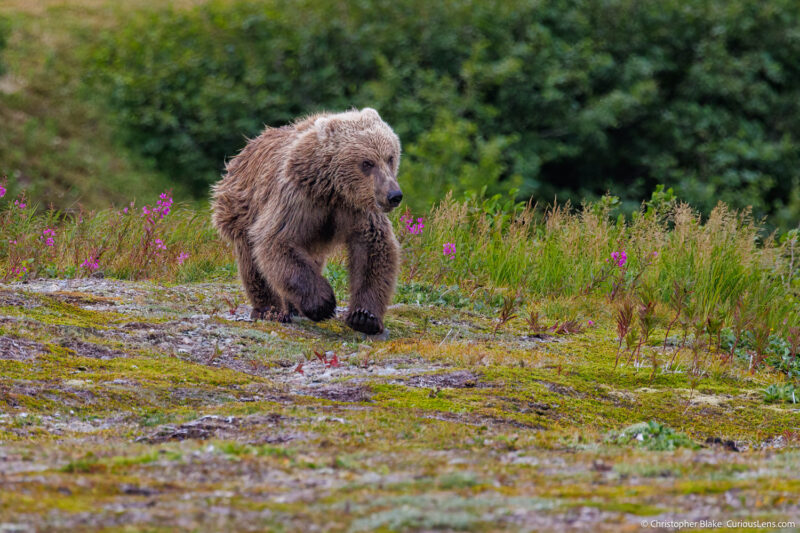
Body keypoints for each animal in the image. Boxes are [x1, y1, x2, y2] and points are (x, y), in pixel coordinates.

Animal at [211, 107, 400, 332]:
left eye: (390, 157)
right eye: (367, 162)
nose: (394, 195)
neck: (335, 191)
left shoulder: (360, 209)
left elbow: (373, 249)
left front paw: (364, 316)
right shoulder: (297, 198)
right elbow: (277, 241)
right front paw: (323, 303)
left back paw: (293, 307)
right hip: (240, 208)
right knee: (253, 260)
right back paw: (270, 310)